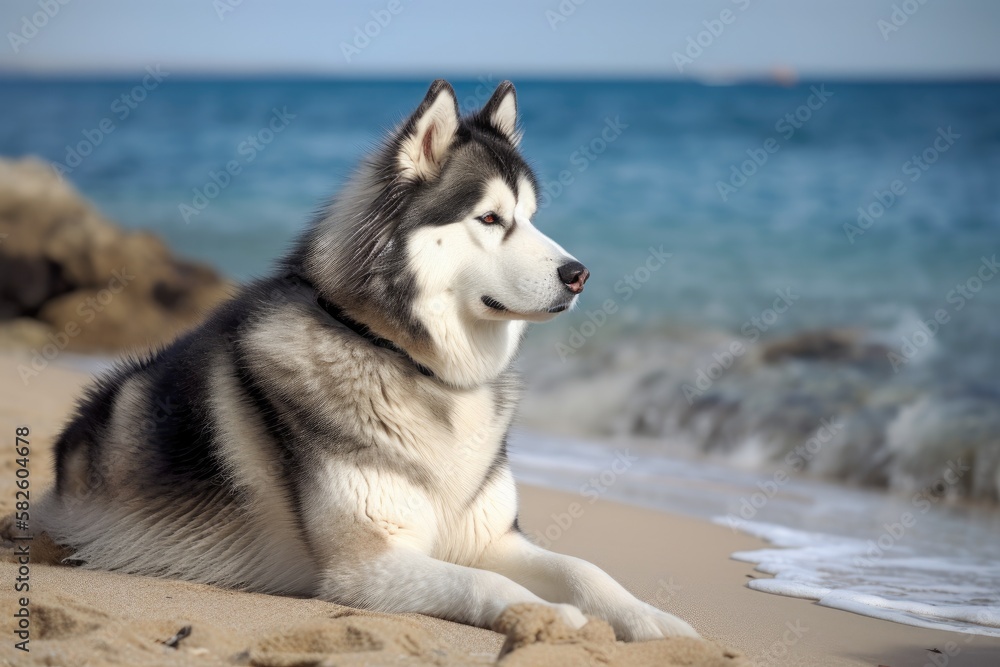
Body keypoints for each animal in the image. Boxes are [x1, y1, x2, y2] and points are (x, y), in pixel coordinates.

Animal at [37, 81, 696, 644]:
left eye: (531, 218)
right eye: (490, 219)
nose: (579, 274)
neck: (412, 364)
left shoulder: (492, 537)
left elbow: (587, 570)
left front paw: (654, 620)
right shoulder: (368, 566)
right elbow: (485, 583)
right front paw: (549, 616)